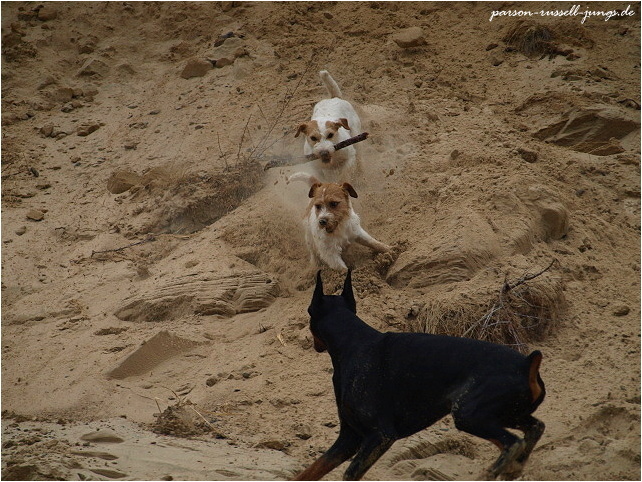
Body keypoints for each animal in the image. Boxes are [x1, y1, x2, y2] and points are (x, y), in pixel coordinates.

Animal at [294, 271, 546, 481]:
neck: (352, 342)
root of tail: (526, 364)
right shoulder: (349, 437)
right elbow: (310, 471)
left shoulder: (379, 435)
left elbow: (349, 473)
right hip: (505, 414)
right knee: (534, 429)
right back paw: (513, 468)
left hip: (469, 414)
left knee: (512, 443)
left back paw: (493, 471)